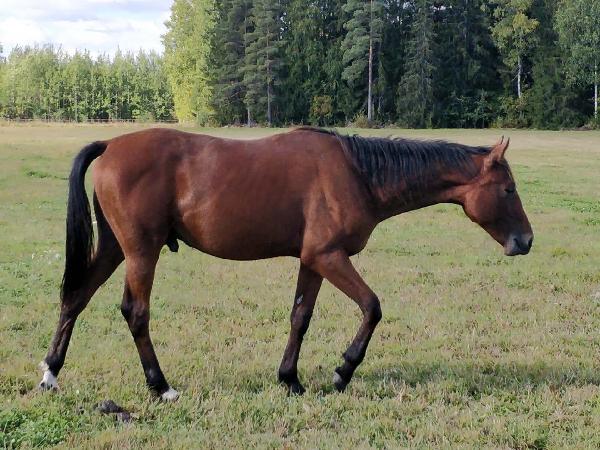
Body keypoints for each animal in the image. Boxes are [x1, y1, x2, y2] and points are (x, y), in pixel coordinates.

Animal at [38, 127, 533, 400]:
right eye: (508, 189)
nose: (525, 240)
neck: (357, 174)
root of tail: (111, 145)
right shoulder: (329, 256)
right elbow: (372, 307)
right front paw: (342, 371)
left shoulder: (313, 261)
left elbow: (300, 316)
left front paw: (290, 379)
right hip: (142, 252)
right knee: (136, 313)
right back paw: (160, 386)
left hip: (115, 248)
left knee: (75, 297)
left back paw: (51, 373)